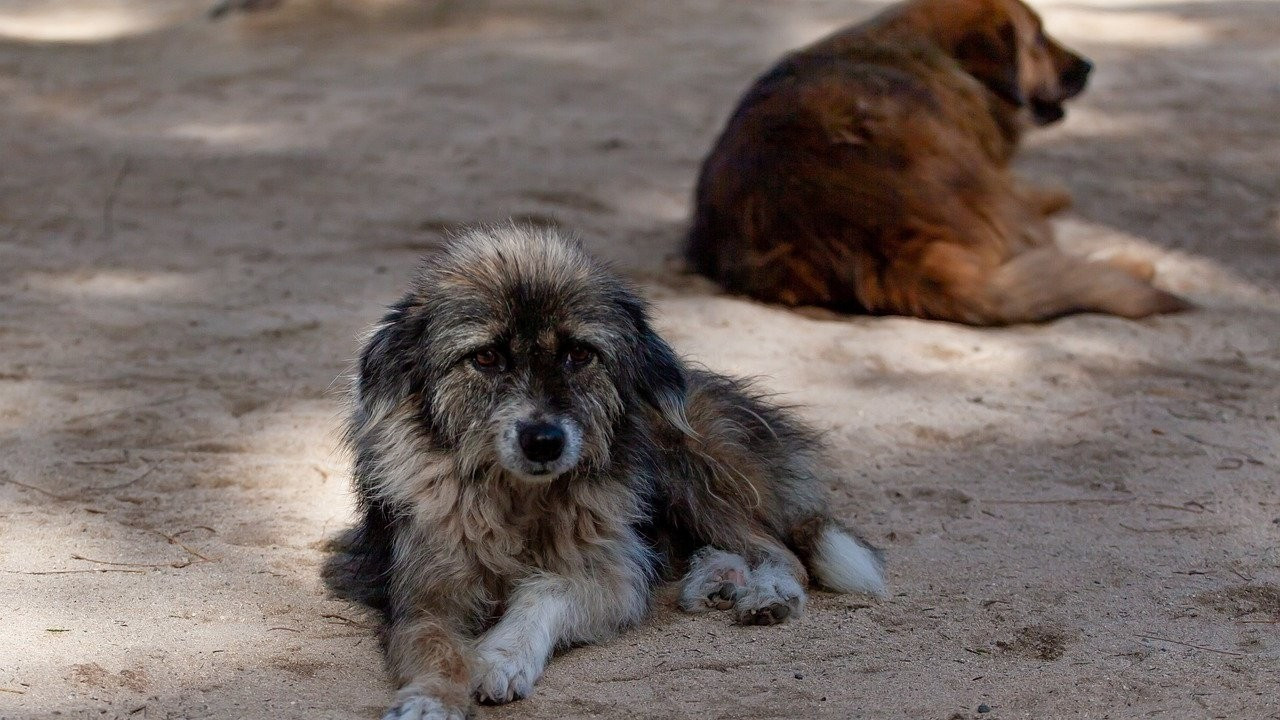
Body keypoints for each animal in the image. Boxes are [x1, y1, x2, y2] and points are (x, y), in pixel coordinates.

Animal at [340, 225, 885, 717]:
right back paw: (715, 576)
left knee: (780, 550)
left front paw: (501, 657)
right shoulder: (423, 595)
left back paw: (764, 591)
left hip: (688, 469)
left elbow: (546, 591)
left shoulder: (609, 574)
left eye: (579, 354)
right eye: (487, 357)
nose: (544, 441)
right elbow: (438, 650)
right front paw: (431, 700)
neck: (520, 499)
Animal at [686, 0, 1192, 322]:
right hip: (996, 203)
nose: (1087, 66)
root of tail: (886, 244)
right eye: (1038, 40)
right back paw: (1129, 264)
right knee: (1043, 250)